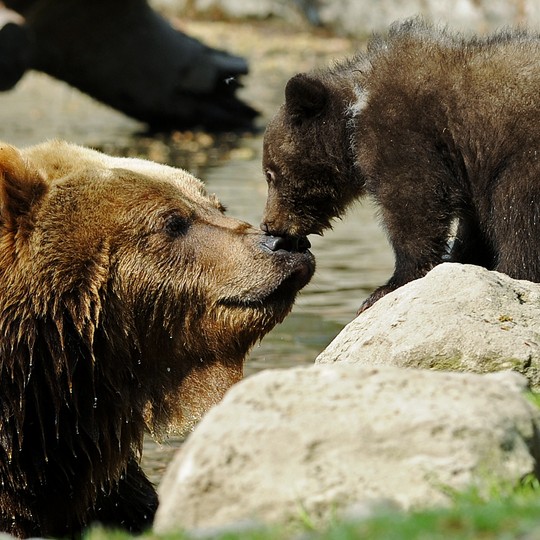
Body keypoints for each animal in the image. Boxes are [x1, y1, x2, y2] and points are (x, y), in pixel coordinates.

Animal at [260, 19, 540, 312]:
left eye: (270, 173)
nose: (268, 224)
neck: (353, 114)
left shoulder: (404, 132)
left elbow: (415, 203)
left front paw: (386, 287)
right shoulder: (468, 167)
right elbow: (471, 224)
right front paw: (460, 259)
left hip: (526, 159)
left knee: (518, 216)